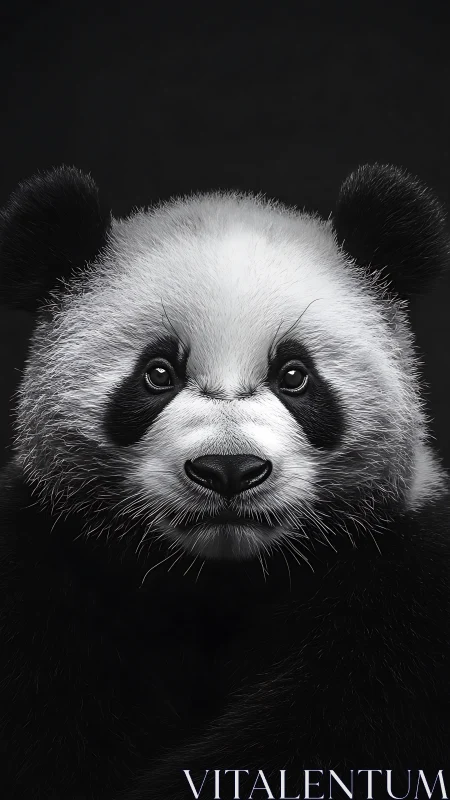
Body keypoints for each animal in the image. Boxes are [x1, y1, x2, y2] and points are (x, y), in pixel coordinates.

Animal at [0, 163, 449, 800]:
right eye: (157, 373)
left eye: (295, 375)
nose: (229, 470)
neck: (221, 581)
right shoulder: (43, 568)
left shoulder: (408, 590)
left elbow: (336, 731)